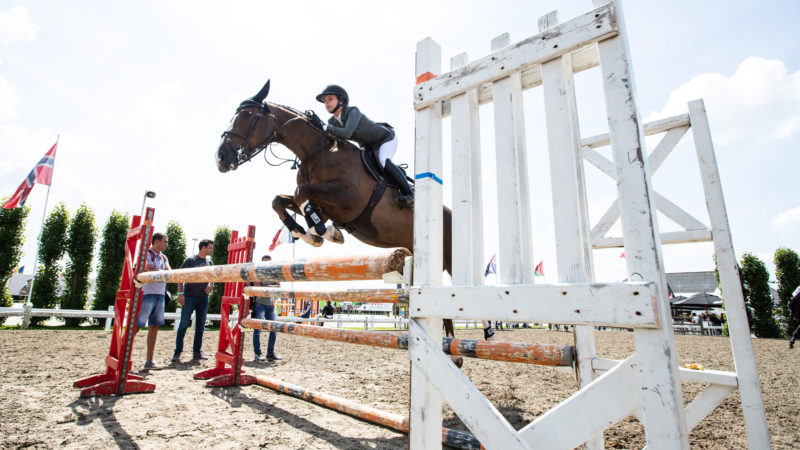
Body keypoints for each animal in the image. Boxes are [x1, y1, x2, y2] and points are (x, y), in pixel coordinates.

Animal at [216, 80, 484, 362]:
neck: (316, 152)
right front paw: (308, 232)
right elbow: (281, 200)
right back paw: (449, 352)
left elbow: (301, 193)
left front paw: (320, 232)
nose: (221, 158)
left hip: (448, 259)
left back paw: (454, 352)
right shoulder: (324, 204)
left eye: (247, 116)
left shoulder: (347, 198)